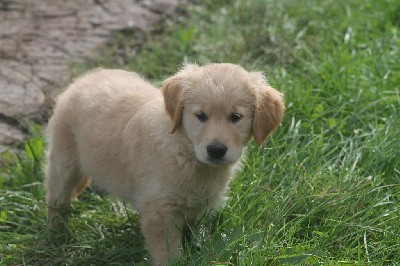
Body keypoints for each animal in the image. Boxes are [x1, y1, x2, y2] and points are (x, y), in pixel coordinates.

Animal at [44, 63, 284, 264]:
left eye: (236, 117)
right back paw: (57, 233)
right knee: (57, 198)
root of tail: (86, 78)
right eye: (200, 115)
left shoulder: (203, 205)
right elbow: (169, 253)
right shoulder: (160, 212)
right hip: (65, 161)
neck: (186, 153)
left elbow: (198, 234)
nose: (216, 150)